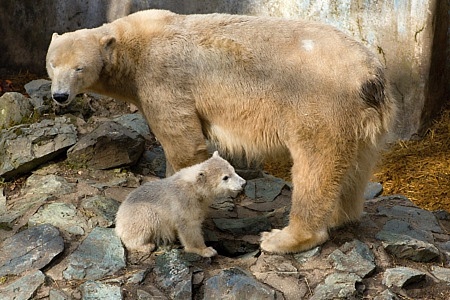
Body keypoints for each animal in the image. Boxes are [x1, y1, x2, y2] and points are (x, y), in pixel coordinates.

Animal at [46, 9, 398, 253]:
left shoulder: (162, 78)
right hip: (366, 118)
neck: (133, 46)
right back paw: (341, 215)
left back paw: (282, 238)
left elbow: (183, 144)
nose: (59, 96)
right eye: (53, 63)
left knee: (316, 164)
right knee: (356, 166)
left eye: (79, 67)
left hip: (318, 102)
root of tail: (371, 74)